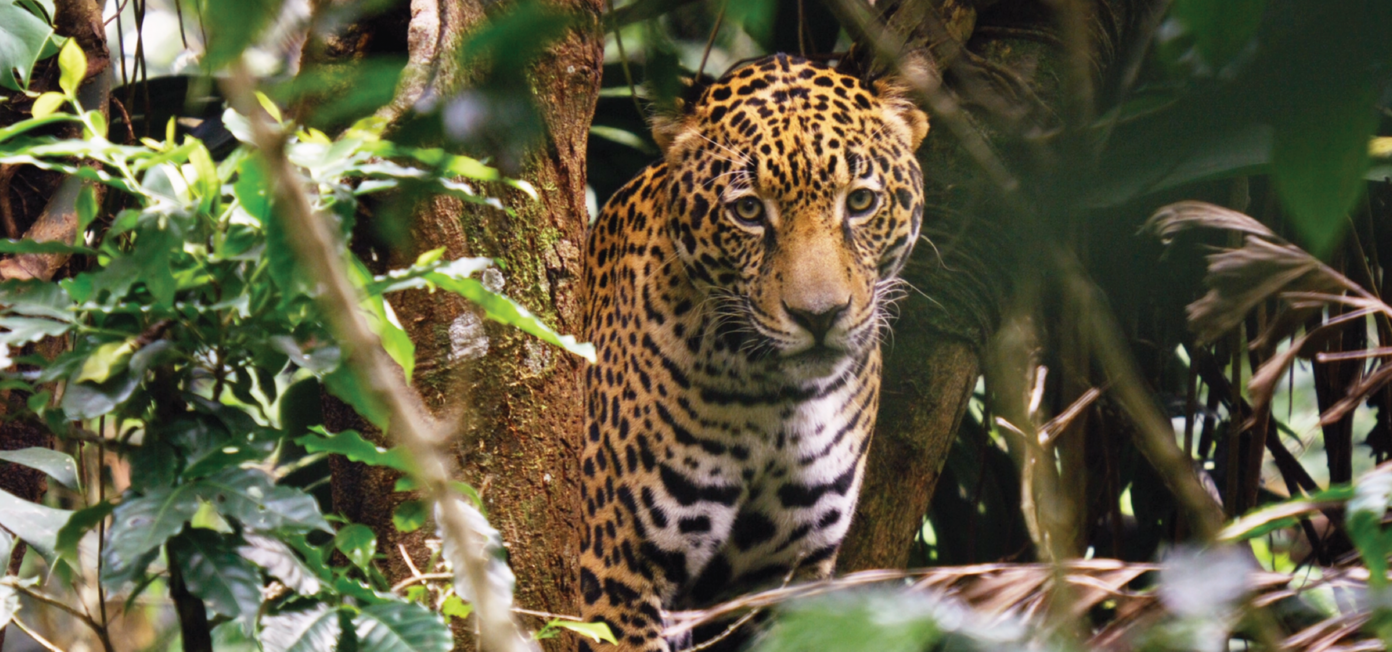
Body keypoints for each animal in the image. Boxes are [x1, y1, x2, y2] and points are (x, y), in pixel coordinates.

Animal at [579, 53, 929, 652]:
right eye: (747, 210)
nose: (819, 315)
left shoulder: (787, 576)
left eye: (860, 202)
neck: (777, 400)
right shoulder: (619, 571)